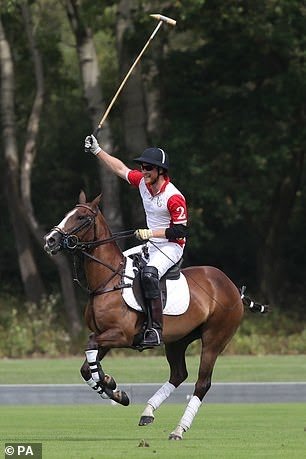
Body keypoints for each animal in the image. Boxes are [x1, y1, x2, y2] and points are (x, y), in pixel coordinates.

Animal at [43, 191, 268, 442]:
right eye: (68, 214)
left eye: (82, 217)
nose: (50, 240)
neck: (107, 282)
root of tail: (232, 288)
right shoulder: (105, 335)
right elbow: (86, 367)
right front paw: (114, 390)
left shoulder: (120, 335)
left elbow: (90, 348)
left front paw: (109, 384)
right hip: (178, 340)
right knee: (178, 374)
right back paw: (148, 412)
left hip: (214, 339)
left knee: (202, 383)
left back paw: (178, 430)